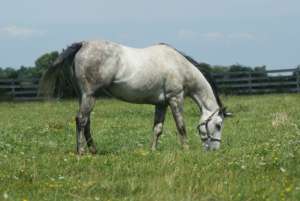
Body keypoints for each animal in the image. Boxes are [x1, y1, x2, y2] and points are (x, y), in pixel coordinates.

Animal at [38, 39, 232, 154]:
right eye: (218, 125)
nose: (215, 149)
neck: (179, 66)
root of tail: (83, 45)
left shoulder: (161, 104)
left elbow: (158, 128)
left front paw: (152, 150)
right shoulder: (175, 99)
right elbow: (181, 126)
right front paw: (186, 149)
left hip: (84, 96)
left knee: (86, 122)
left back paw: (94, 150)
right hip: (89, 96)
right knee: (81, 120)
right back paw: (81, 151)